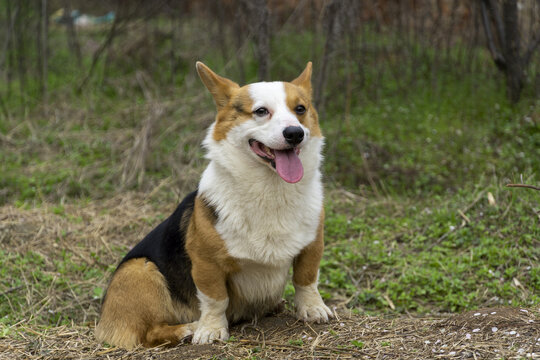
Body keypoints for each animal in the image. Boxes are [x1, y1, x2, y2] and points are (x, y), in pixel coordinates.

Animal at [96, 62, 334, 348]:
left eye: (300, 109)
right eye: (261, 111)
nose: (295, 133)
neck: (270, 189)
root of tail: (104, 319)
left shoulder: (312, 245)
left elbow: (306, 280)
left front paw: (313, 309)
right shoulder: (206, 262)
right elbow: (215, 299)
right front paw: (210, 330)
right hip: (140, 269)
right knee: (150, 332)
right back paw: (187, 328)